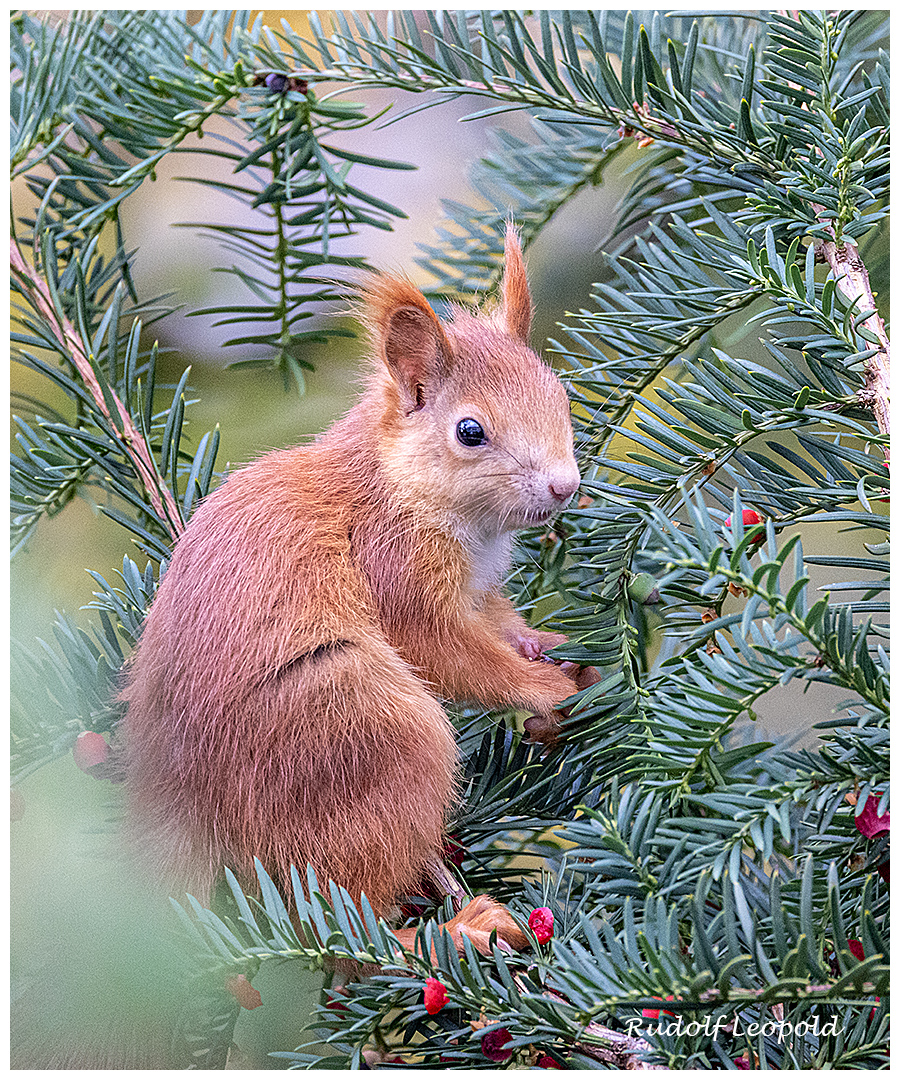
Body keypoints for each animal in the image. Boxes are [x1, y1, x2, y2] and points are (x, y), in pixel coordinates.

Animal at [119, 223, 587, 959]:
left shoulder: (477, 588)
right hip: (358, 729)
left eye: (561, 396)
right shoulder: (391, 568)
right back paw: (454, 931)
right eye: (470, 432)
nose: (565, 487)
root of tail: (181, 798)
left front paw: (543, 642)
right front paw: (545, 688)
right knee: (344, 923)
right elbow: (456, 656)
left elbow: (497, 621)